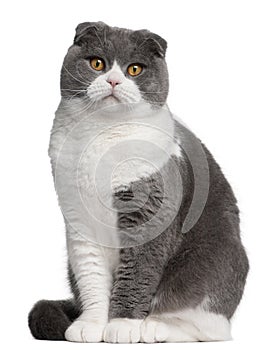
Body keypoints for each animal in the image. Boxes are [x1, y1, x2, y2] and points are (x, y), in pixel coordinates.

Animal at [28, 21, 248, 342]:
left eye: (134, 69)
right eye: (97, 63)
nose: (113, 81)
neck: (102, 135)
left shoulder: (148, 213)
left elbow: (137, 275)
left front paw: (122, 325)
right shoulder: (79, 220)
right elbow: (91, 276)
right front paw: (91, 325)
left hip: (213, 262)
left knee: (209, 327)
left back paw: (155, 327)